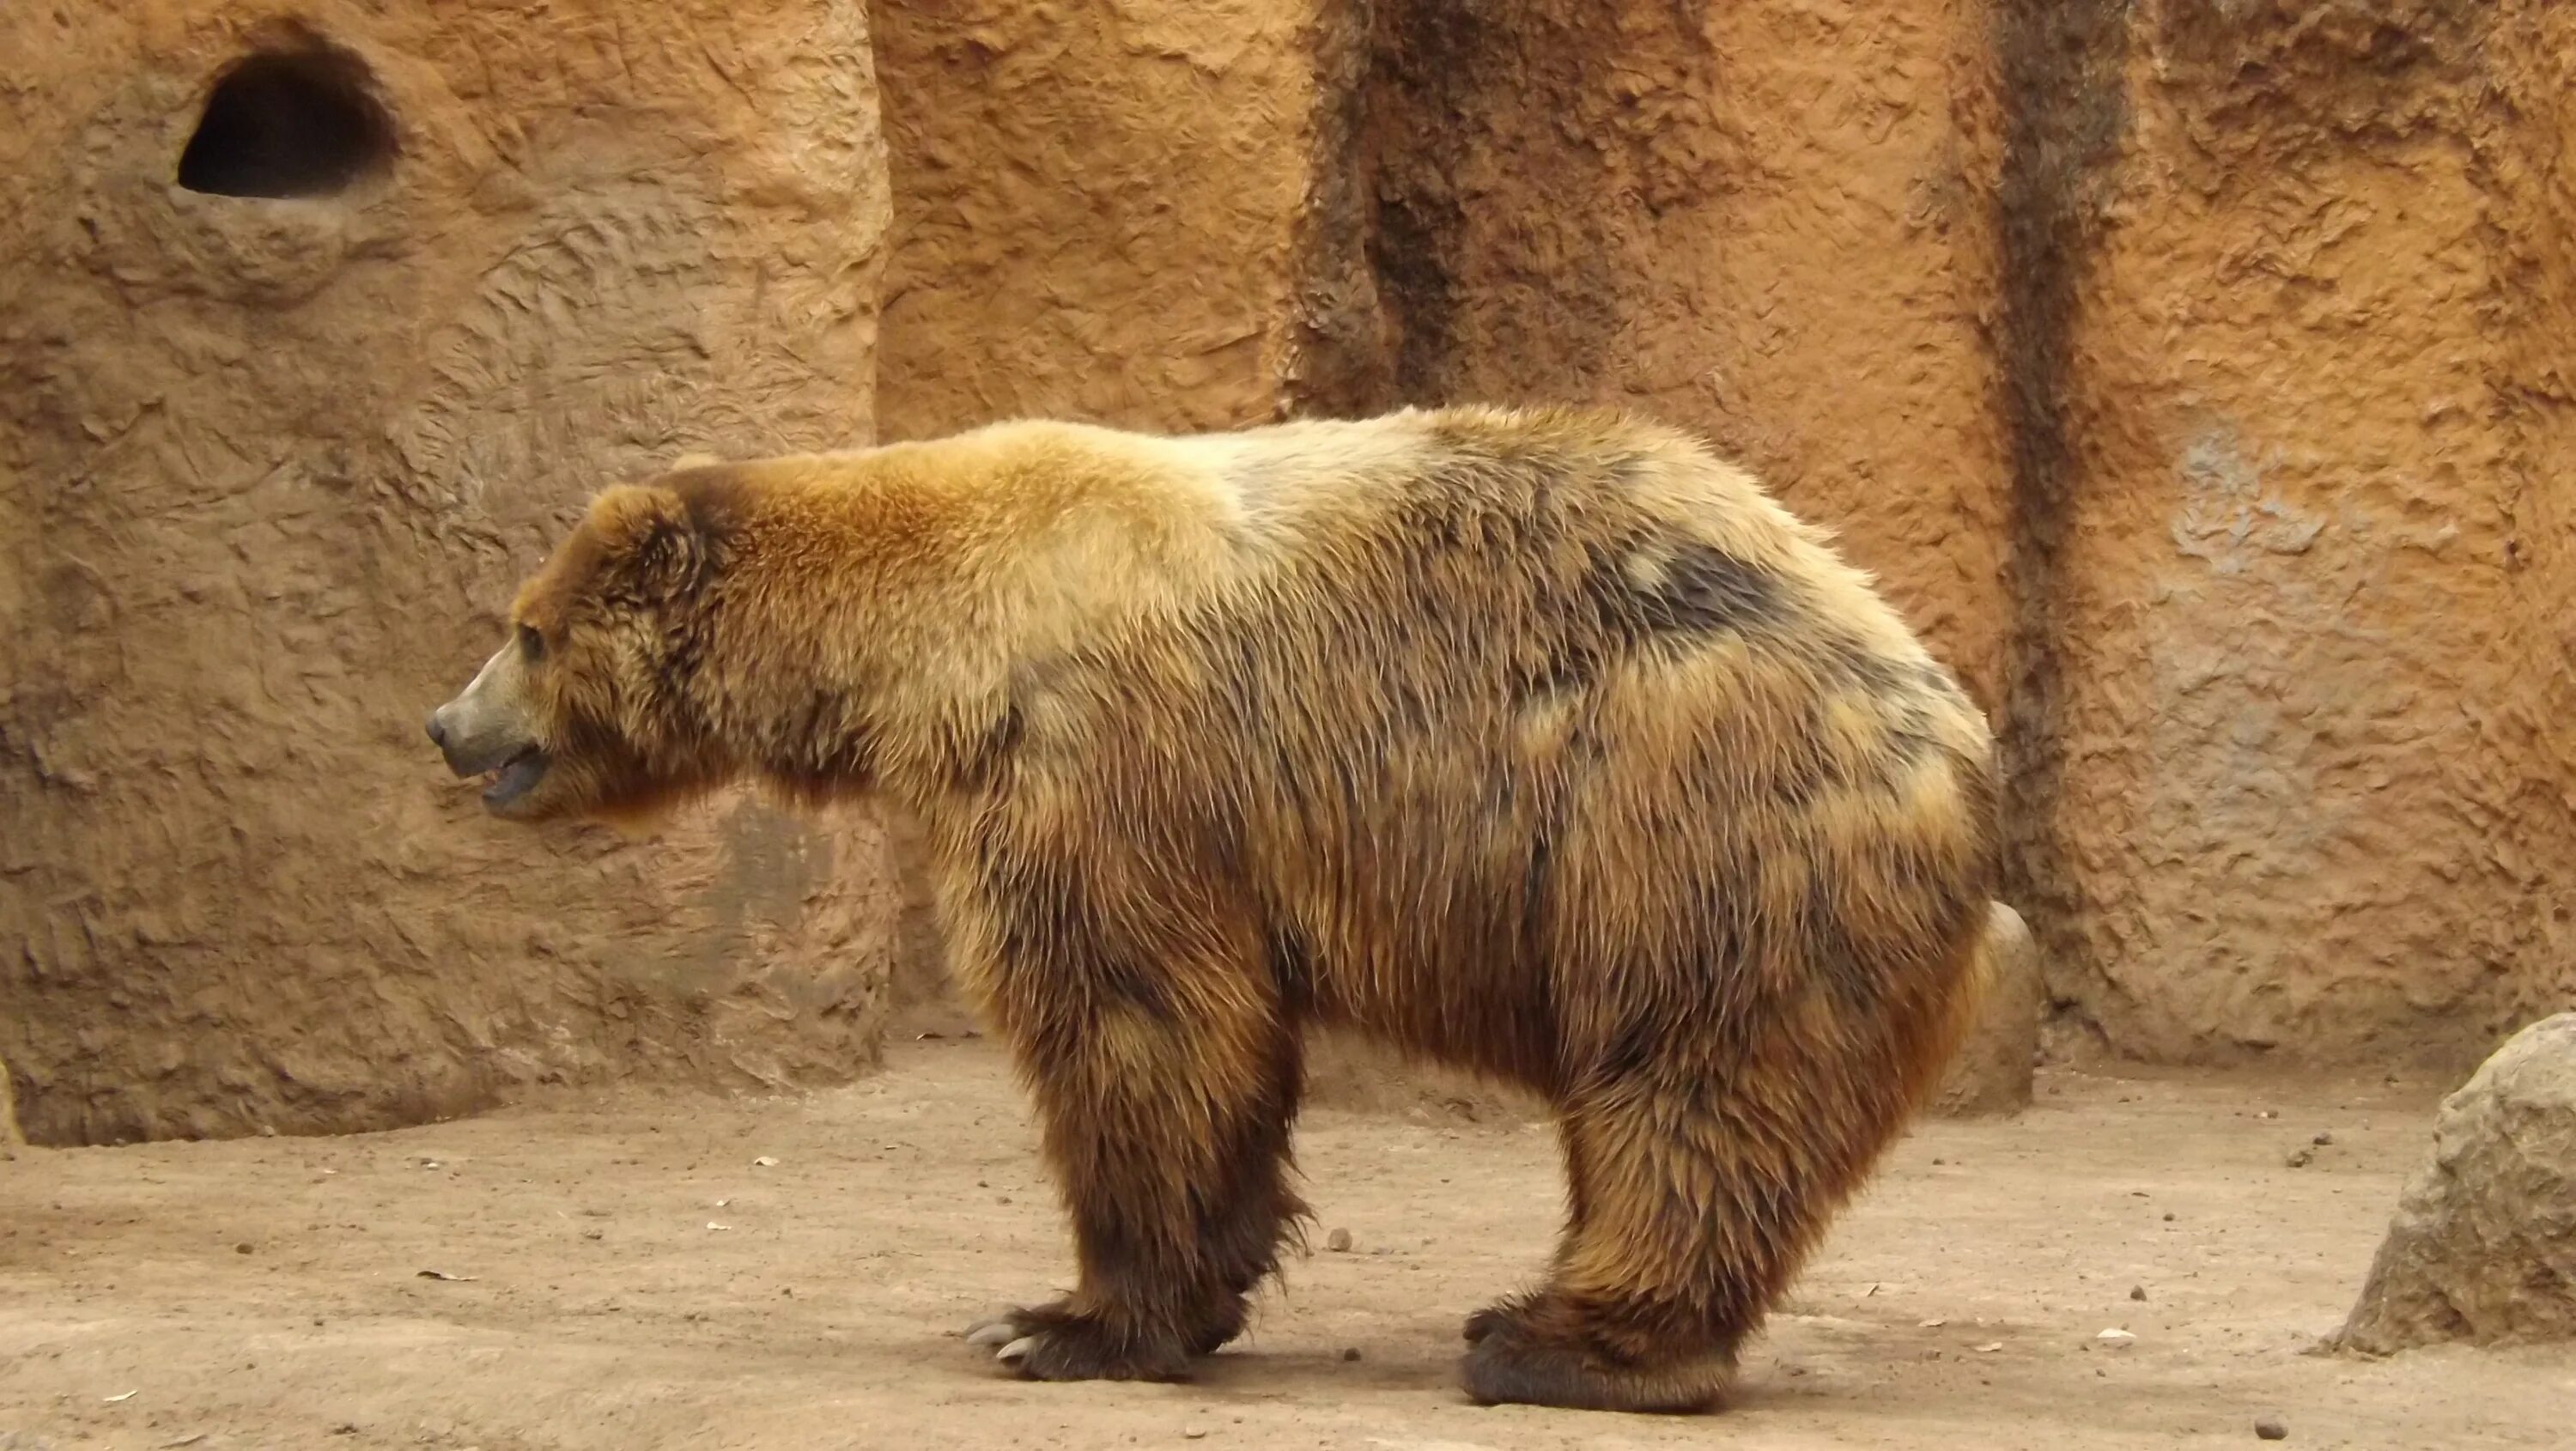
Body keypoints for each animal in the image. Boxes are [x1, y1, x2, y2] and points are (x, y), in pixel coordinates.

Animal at [422, 402, 1999, 1412]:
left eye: (526, 630)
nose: (446, 724)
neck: (931, 641)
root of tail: (1948, 726)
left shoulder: (1097, 761)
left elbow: (1139, 1017)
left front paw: (1061, 1320)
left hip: (1688, 832)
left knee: (1690, 1091)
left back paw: (1555, 1342)